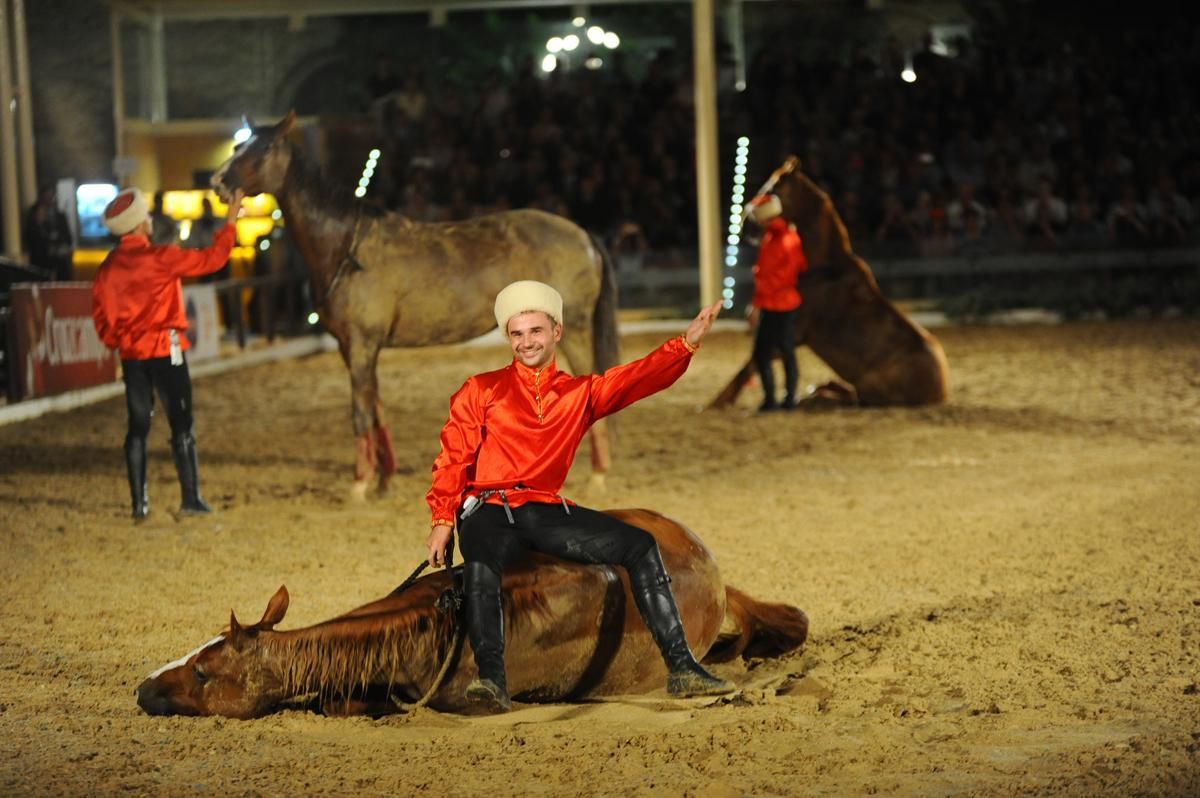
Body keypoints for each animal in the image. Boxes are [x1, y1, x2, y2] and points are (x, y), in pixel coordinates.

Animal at [211, 110, 619, 499]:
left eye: (264, 149)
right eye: (238, 146)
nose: (217, 182)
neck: (347, 245)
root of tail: (582, 235)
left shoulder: (361, 345)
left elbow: (360, 411)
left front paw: (359, 486)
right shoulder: (354, 347)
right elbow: (375, 407)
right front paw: (383, 482)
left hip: (574, 330)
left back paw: (599, 477)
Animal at [705, 156, 950, 408]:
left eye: (771, 190)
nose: (745, 226)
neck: (818, 270)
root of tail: (941, 393)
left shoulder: (793, 336)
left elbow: (750, 365)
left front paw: (715, 403)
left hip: (872, 391)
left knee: (852, 400)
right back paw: (819, 389)